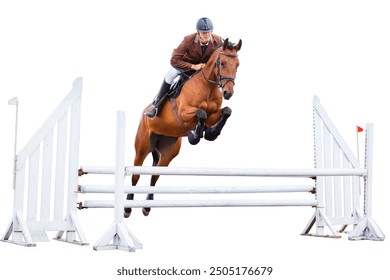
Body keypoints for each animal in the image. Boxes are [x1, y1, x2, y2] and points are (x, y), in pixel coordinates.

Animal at [124, 37, 241, 217]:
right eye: (222, 63)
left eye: (237, 64)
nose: (228, 92)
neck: (207, 85)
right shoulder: (184, 113)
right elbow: (201, 113)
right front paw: (195, 135)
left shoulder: (214, 114)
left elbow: (226, 111)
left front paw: (210, 133)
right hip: (142, 147)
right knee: (136, 174)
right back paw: (128, 207)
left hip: (167, 152)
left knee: (154, 176)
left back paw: (147, 206)